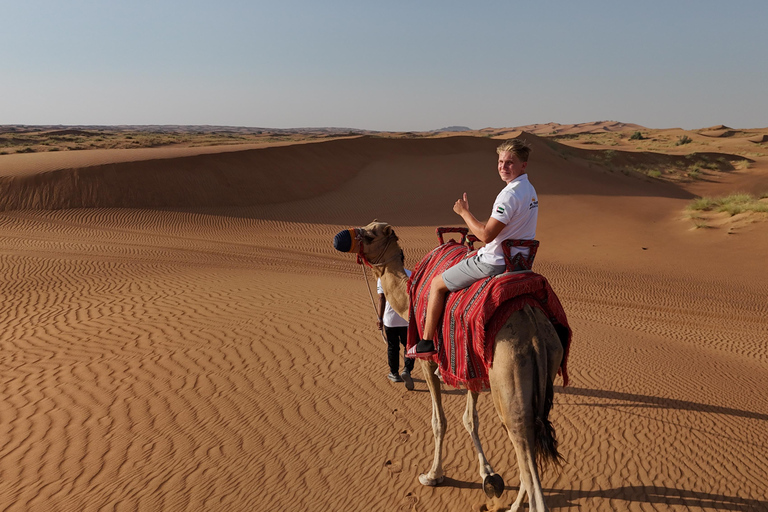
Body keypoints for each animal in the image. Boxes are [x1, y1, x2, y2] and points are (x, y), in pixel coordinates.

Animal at [332, 221, 568, 512]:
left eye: (370, 234)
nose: (341, 237)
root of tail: (535, 329)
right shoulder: (470, 365)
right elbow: (470, 418)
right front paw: (489, 476)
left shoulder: (429, 361)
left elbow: (438, 420)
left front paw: (433, 475)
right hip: (541, 372)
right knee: (529, 443)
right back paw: (513, 505)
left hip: (509, 376)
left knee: (524, 447)